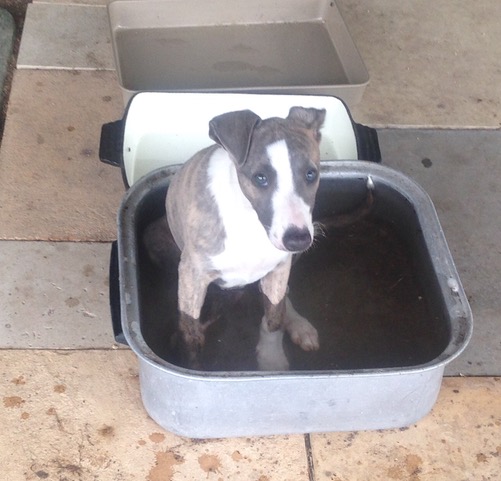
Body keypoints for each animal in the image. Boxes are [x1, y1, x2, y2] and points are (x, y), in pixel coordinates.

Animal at [165, 107, 326, 370]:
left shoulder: (279, 268)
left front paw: (272, 360)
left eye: (311, 174)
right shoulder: (192, 276)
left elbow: (274, 317)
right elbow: (190, 332)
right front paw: (191, 367)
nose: (298, 240)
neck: (250, 223)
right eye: (260, 178)